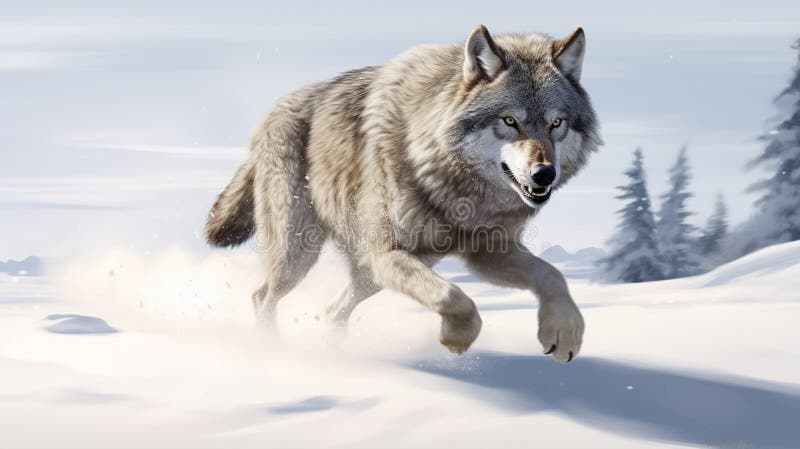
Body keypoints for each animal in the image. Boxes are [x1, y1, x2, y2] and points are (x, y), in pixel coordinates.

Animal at [206, 25, 601, 362]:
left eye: (556, 123)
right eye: (509, 121)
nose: (544, 174)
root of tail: (272, 113)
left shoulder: (489, 252)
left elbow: (552, 274)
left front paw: (564, 332)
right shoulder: (387, 253)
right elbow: (454, 297)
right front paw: (456, 339)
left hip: (370, 273)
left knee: (333, 310)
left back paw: (336, 353)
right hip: (301, 253)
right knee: (262, 297)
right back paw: (271, 349)